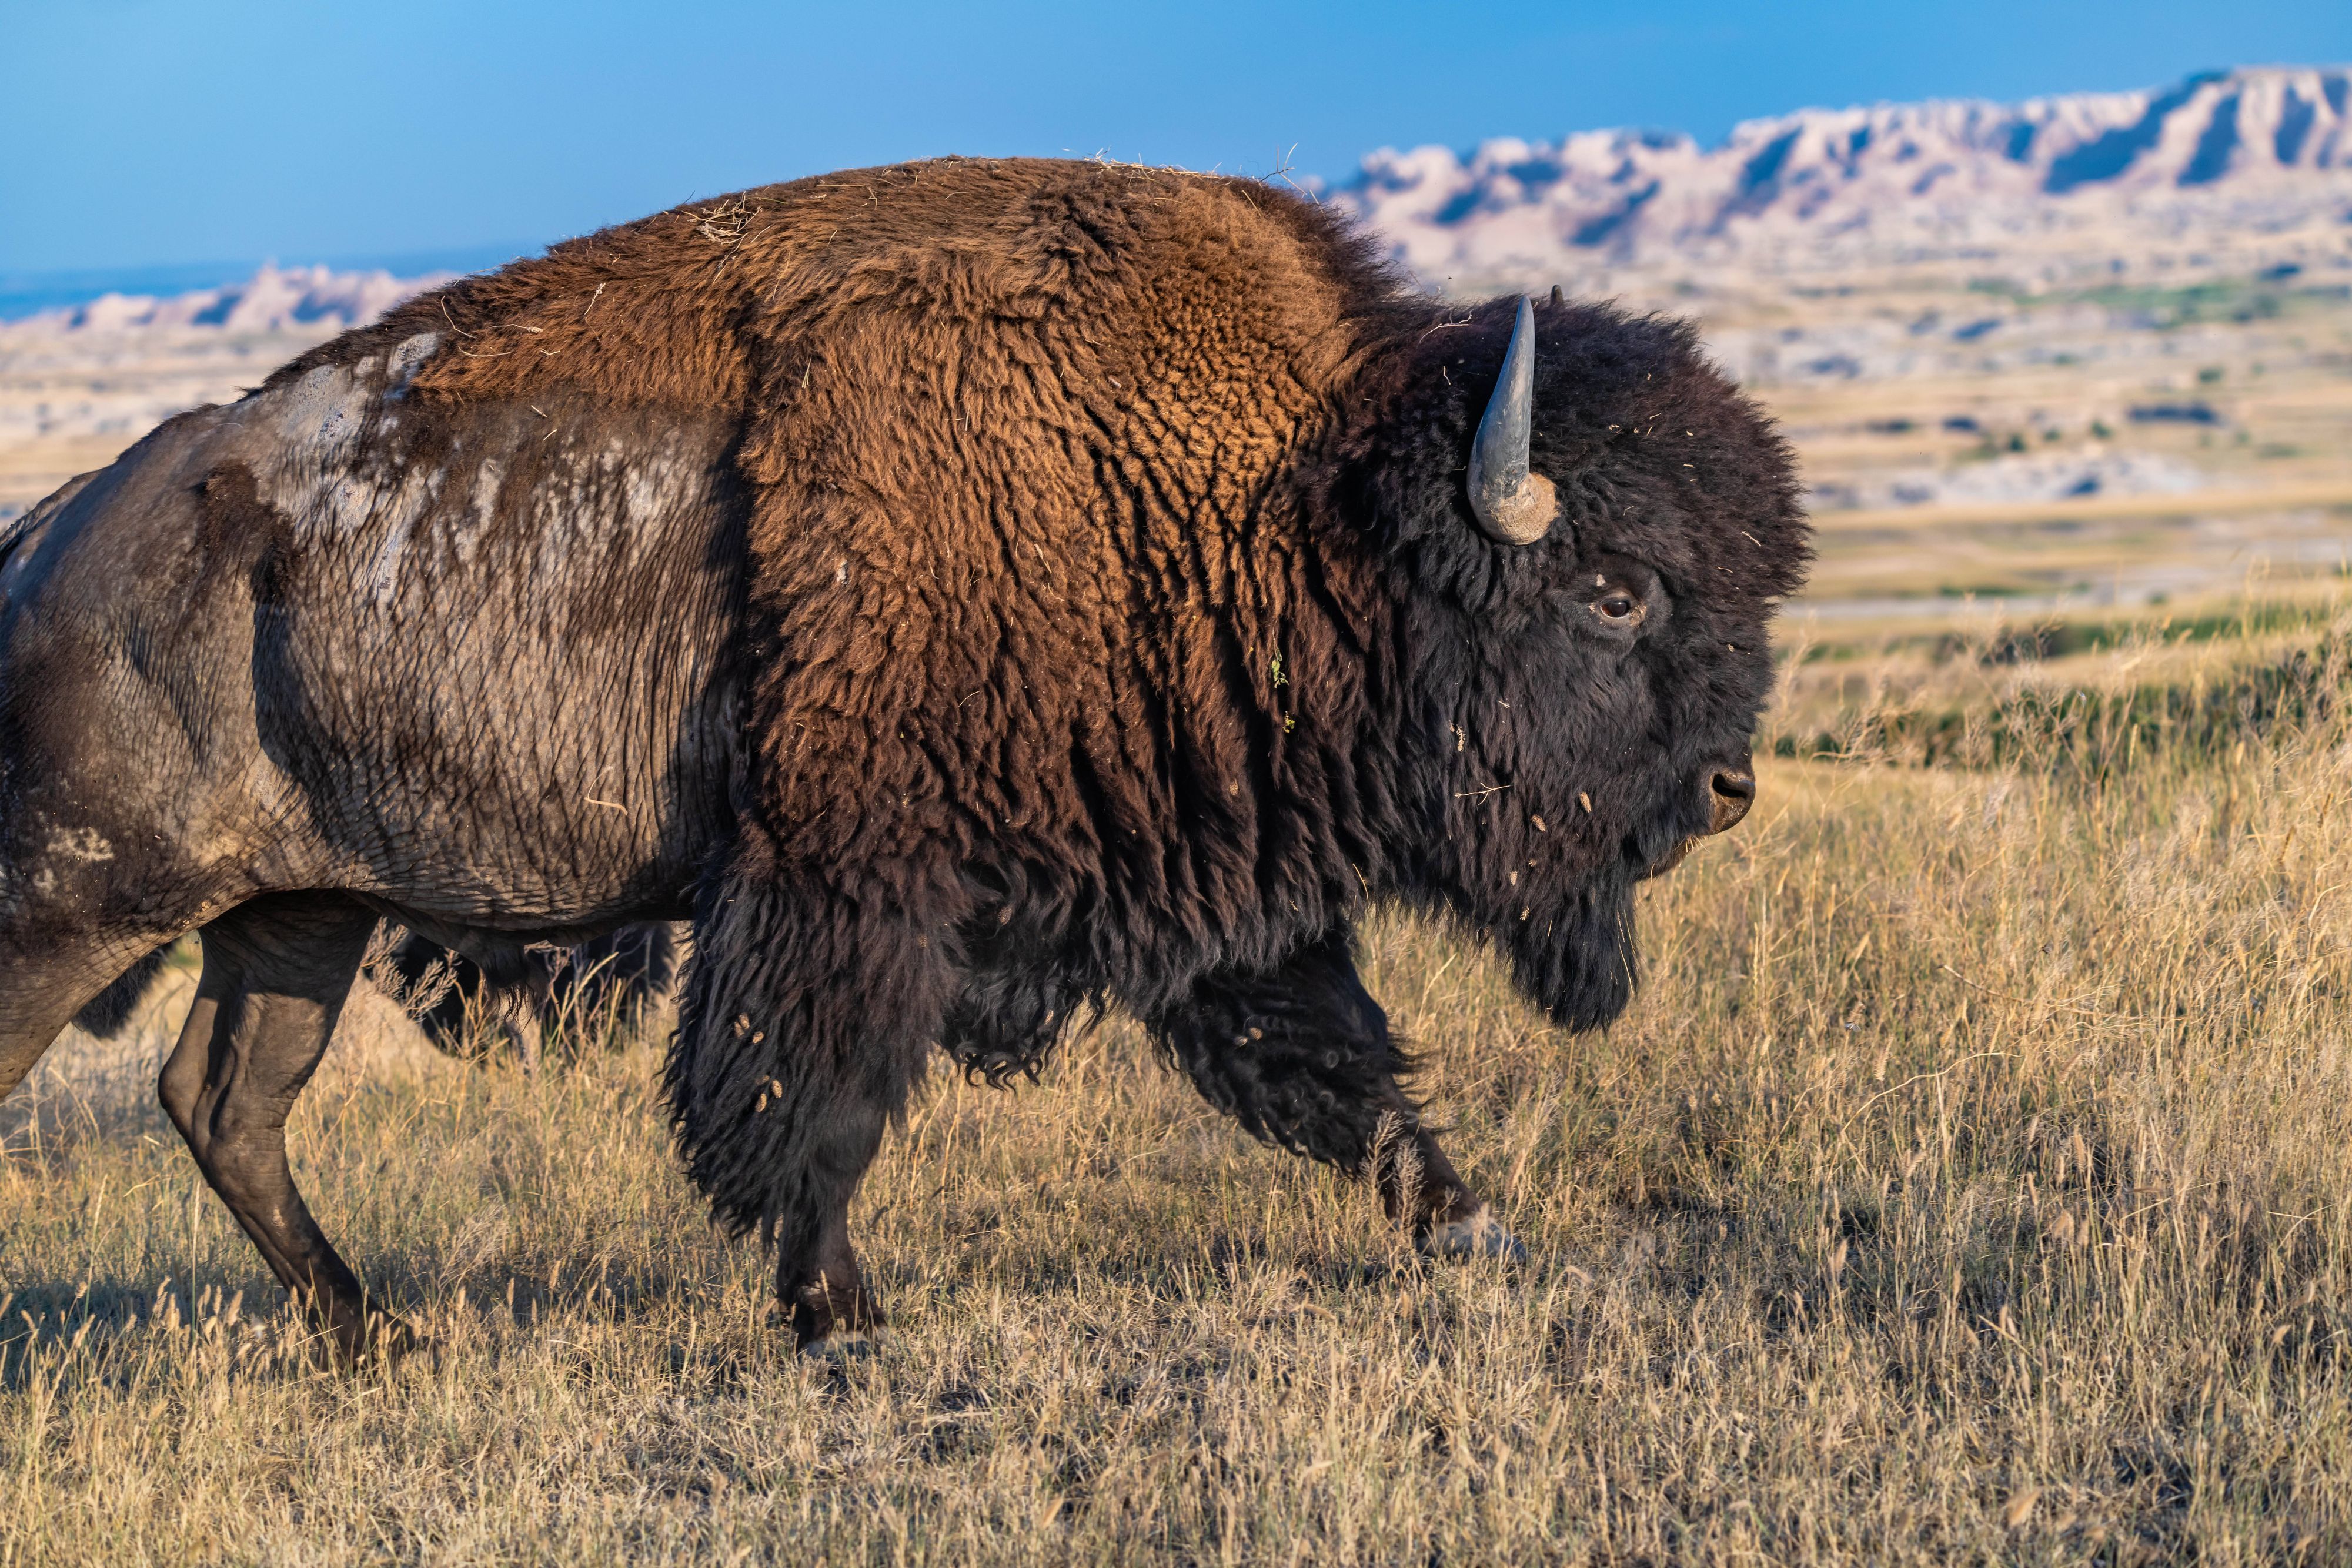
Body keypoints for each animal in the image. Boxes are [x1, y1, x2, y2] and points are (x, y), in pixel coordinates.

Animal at [0, 158, 1808, 1359]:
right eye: (1616, 588)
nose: (1729, 791)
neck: (1279, 502)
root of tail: (65, 528)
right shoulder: (844, 886)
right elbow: (808, 1103)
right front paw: (842, 1316)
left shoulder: (1209, 887)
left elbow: (1335, 1066)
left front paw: (1472, 1225)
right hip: (84, 900)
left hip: (297, 907)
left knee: (227, 1100)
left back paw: (374, 1332)